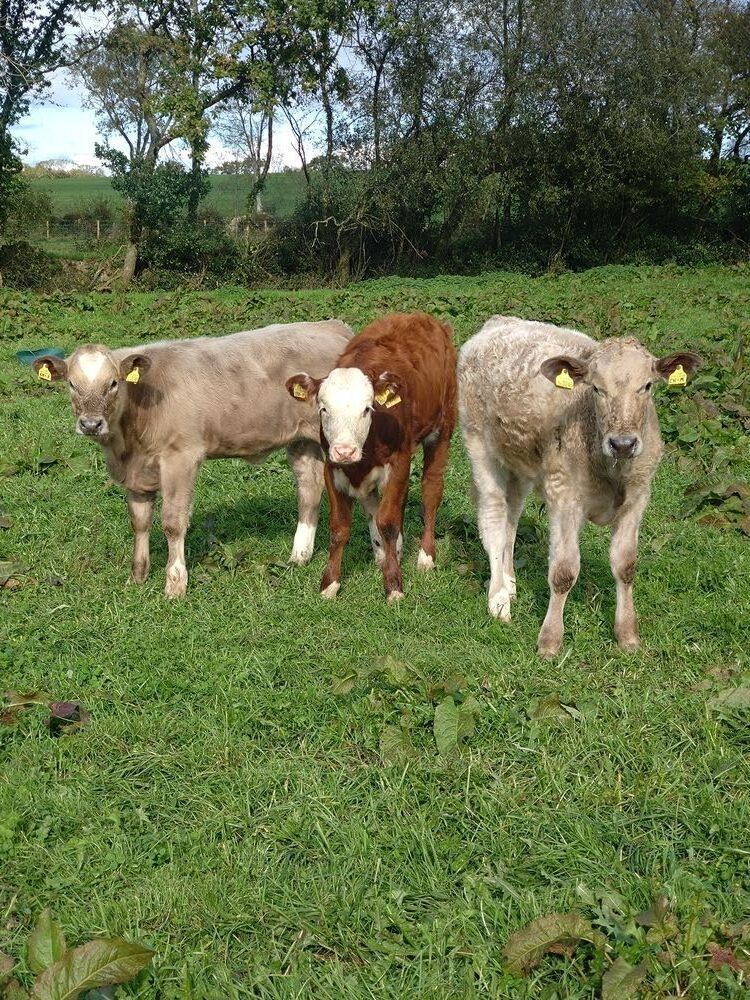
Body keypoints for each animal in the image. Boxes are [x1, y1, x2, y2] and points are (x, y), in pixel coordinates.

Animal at [32, 321, 352, 597]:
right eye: (71, 384)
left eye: (113, 383)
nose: (90, 424)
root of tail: (331, 326)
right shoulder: (137, 471)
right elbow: (139, 521)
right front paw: (138, 576)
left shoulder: (181, 458)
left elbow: (173, 523)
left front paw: (175, 585)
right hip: (301, 440)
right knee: (309, 488)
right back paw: (299, 556)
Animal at [286, 312, 457, 601]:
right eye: (323, 408)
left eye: (367, 409)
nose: (345, 450)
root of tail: (419, 316)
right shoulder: (332, 468)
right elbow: (340, 527)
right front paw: (330, 583)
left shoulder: (398, 461)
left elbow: (387, 522)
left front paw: (394, 585)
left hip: (442, 429)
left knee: (431, 490)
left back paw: (425, 556)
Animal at [458, 316, 701, 657]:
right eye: (596, 388)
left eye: (647, 385)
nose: (623, 443)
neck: (612, 470)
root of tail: (499, 321)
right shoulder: (564, 496)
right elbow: (563, 572)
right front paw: (549, 641)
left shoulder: (638, 498)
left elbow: (625, 565)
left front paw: (628, 636)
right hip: (479, 444)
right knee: (493, 519)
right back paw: (499, 600)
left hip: (520, 464)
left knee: (511, 519)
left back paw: (510, 583)